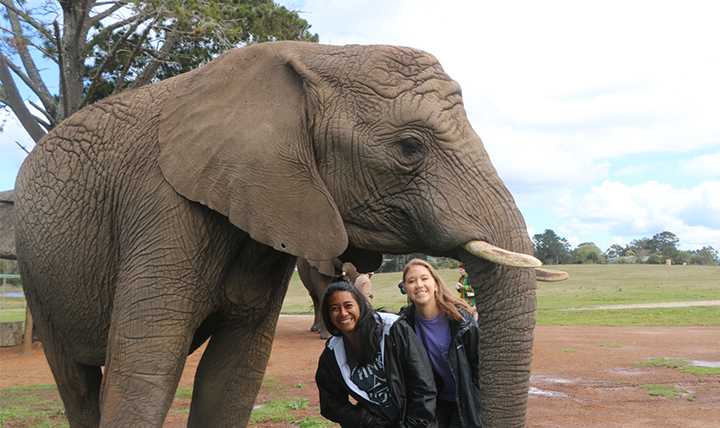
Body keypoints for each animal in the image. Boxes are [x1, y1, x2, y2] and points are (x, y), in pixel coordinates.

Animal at [12, 41, 568, 428]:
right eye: (410, 148)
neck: (309, 59)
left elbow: (232, 377)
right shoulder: (162, 207)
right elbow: (144, 376)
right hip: (33, 262)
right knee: (77, 383)